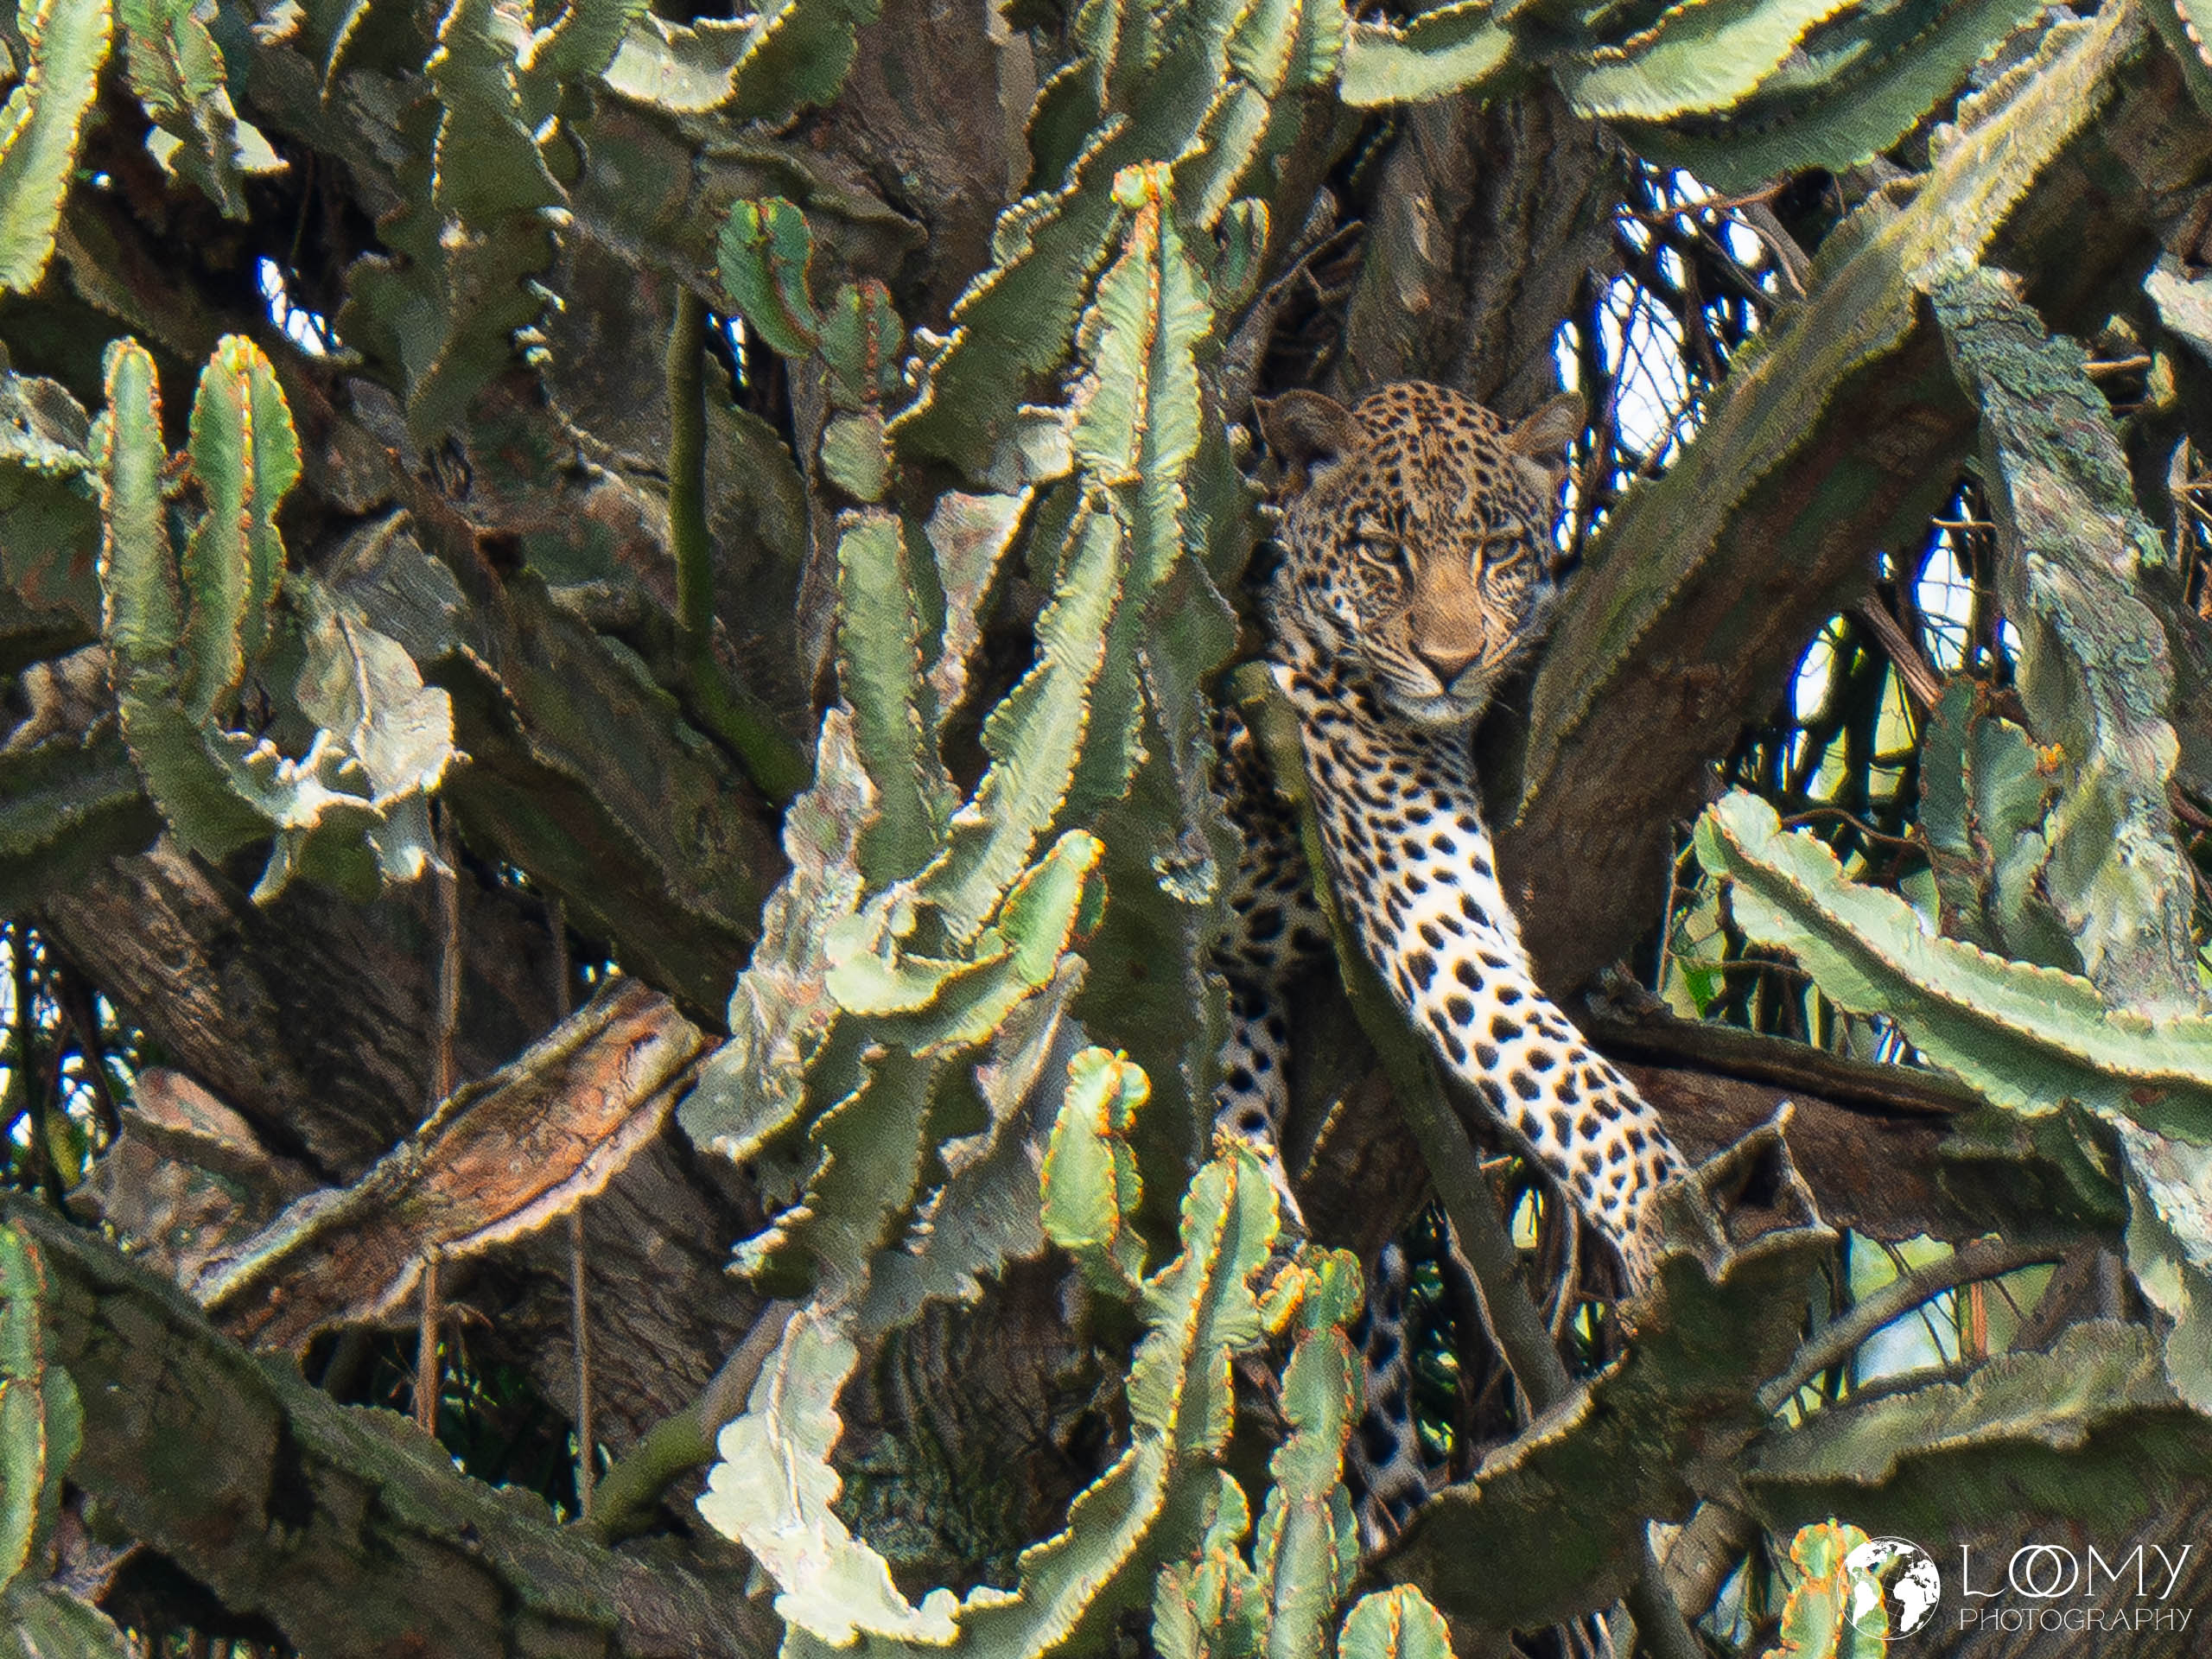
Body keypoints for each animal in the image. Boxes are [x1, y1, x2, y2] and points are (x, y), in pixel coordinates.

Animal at [1209, 380, 1690, 1540]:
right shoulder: (1433, 907)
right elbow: (1567, 1079)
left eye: (1495, 549)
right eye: (1384, 551)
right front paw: (1665, 1210)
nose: (1452, 662)